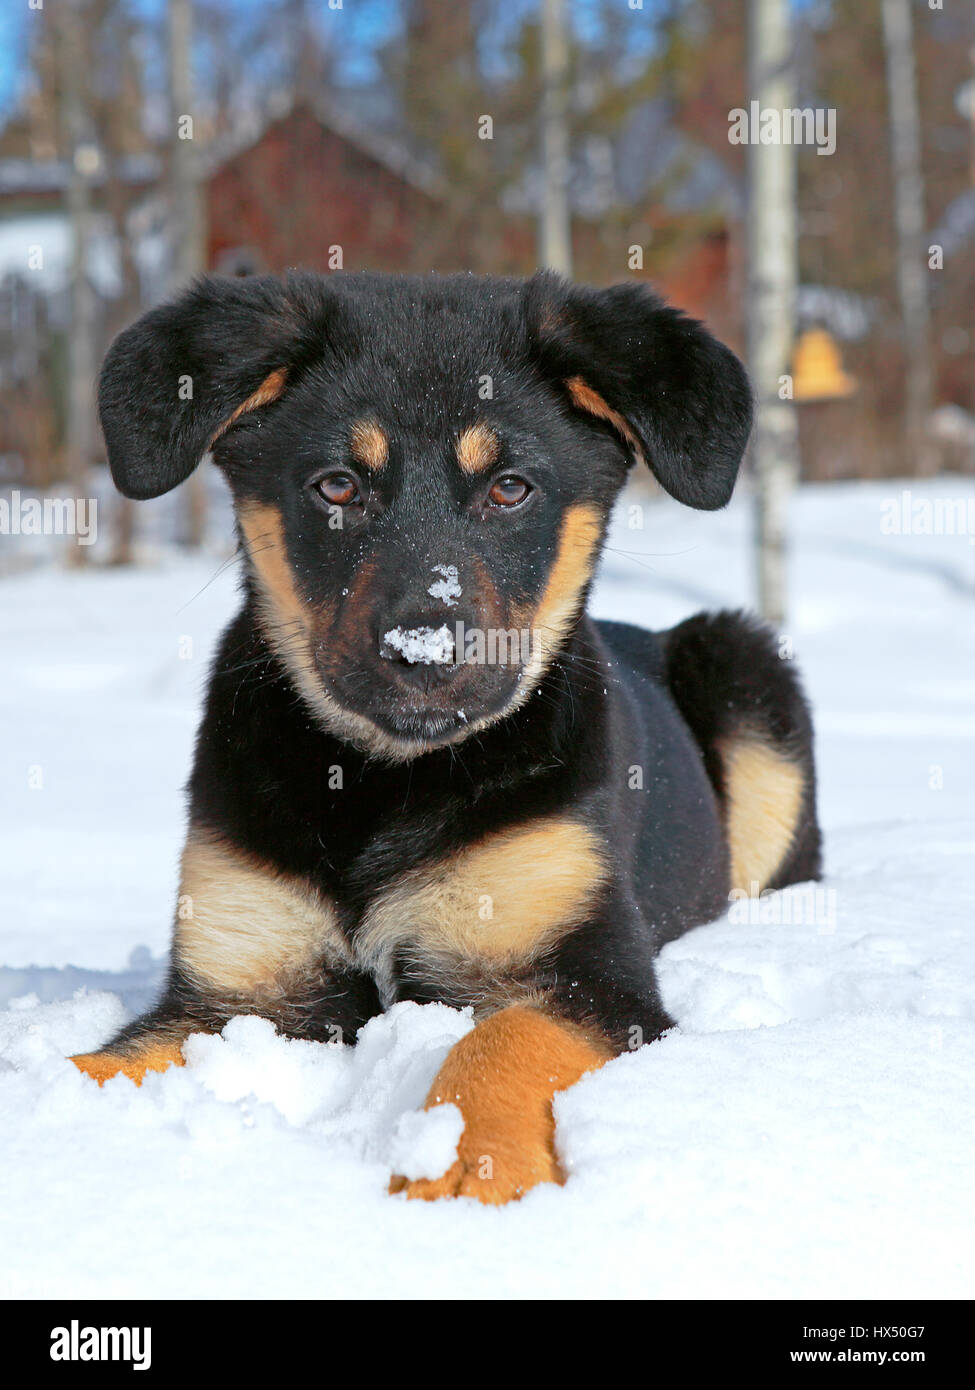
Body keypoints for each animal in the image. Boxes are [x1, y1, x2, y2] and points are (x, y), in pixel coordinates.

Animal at [72, 273, 817, 1206]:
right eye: (336, 487)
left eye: (510, 488)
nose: (425, 649)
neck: (386, 781)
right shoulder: (237, 992)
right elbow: (98, 1063)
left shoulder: (587, 975)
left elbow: (500, 1039)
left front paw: (466, 1166)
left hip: (745, 665)